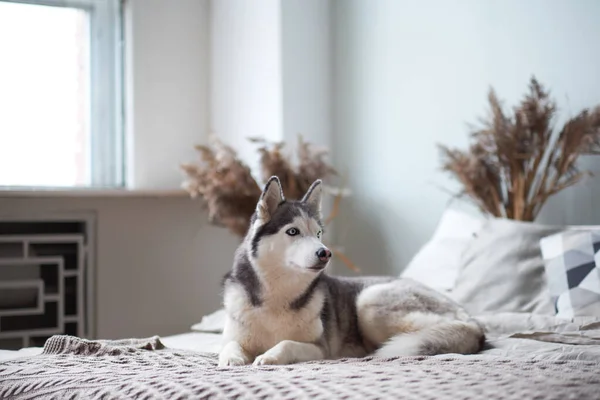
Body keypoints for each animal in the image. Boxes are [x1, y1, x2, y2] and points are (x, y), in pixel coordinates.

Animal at [218, 177, 486, 368]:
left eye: (318, 234)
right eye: (292, 232)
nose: (325, 253)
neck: (278, 295)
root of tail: (470, 318)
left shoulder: (320, 348)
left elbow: (286, 343)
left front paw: (270, 355)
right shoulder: (232, 336)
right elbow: (228, 345)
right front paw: (232, 358)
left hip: (369, 302)